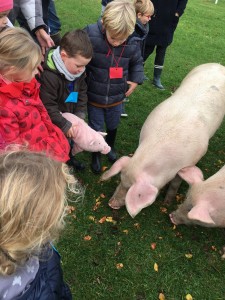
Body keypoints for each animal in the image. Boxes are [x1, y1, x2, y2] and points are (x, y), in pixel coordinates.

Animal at [101, 63, 225, 218]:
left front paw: (167, 203)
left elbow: (175, 183)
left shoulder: (188, 163)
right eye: (121, 179)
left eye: (130, 188)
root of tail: (218, 65)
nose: (111, 204)